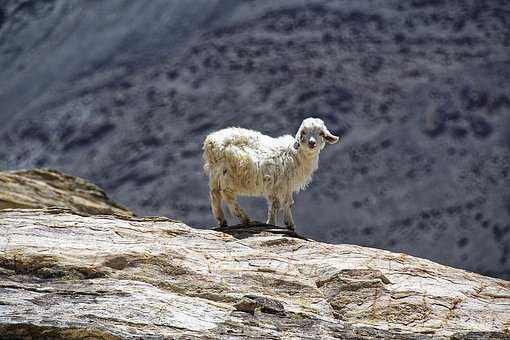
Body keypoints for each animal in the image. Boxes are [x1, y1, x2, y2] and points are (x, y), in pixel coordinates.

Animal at [202, 117, 338, 228]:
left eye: (321, 133)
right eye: (303, 132)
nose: (312, 143)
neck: (295, 154)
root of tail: (210, 141)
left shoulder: (274, 185)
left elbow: (274, 204)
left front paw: (271, 223)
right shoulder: (284, 184)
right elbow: (287, 203)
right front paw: (290, 224)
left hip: (215, 173)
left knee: (215, 194)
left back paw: (222, 221)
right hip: (230, 171)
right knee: (227, 194)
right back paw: (245, 219)